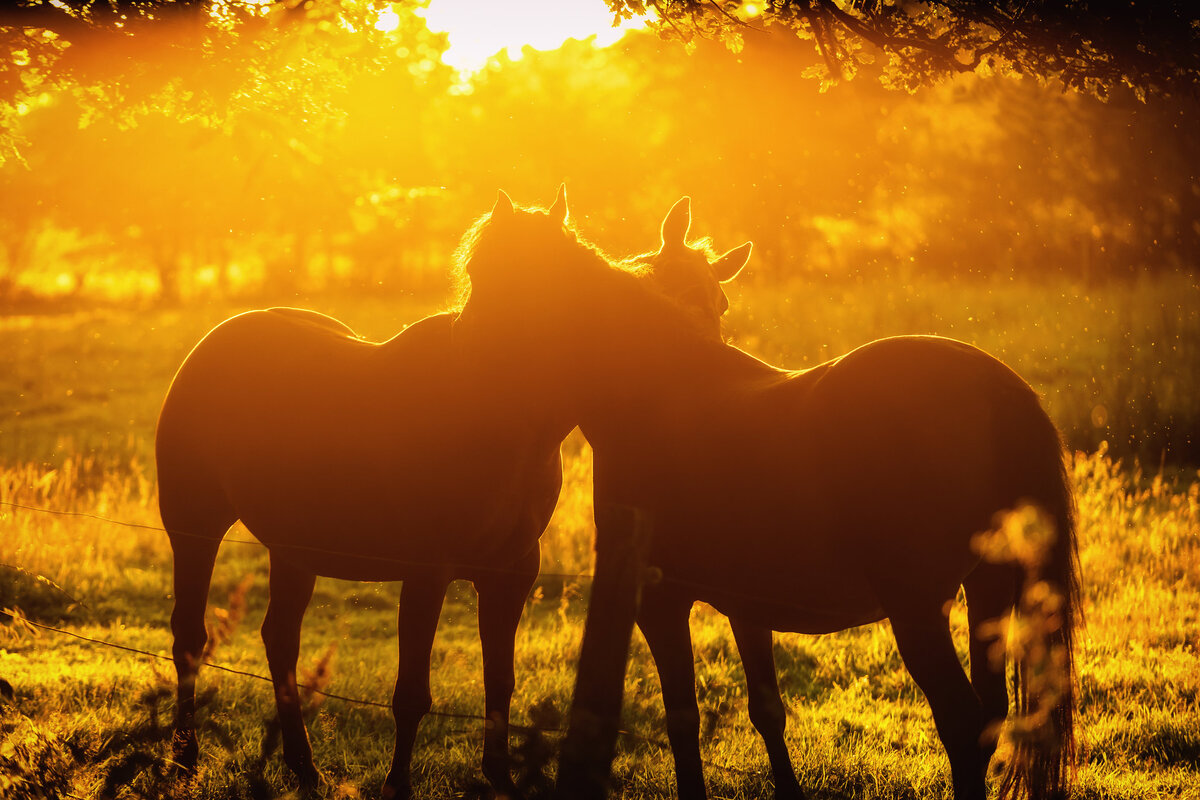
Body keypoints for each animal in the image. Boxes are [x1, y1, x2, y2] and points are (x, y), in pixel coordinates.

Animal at [157, 195, 583, 800]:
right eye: (478, 273)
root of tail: (214, 341)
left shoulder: (512, 574)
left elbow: (500, 681)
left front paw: (500, 776)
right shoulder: (427, 573)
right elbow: (412, 695)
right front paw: (397, 785)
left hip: (293, 548)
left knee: (280, 641)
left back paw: (302, 766)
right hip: (194, 529)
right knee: (190, 638)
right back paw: (185, 757)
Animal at [451, 195, 1080, 800]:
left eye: (498, 275)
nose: (467, 356)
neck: (659, 389)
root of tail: (996, 386)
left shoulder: (659, 600)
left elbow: (683, 718)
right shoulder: (745, 605)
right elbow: (766, 710)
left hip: (918, 606)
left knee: (962, 720)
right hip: (988, 589)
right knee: (989, 716)